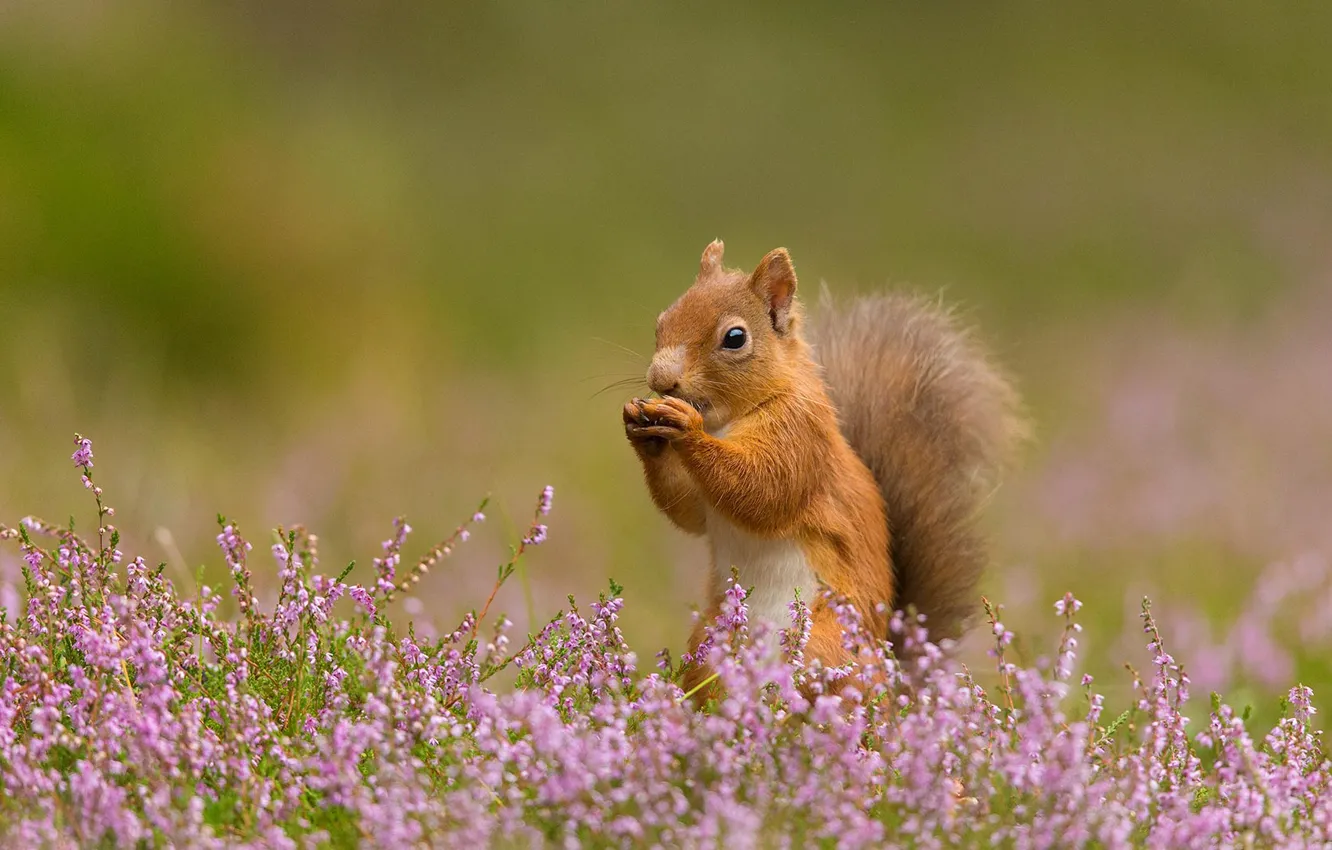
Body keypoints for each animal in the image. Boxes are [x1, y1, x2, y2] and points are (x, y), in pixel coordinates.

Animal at [623, 240, 1025, 696]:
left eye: (735, 338)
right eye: (662, 321)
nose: (661, 379)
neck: (729, 420)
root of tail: (892, 683)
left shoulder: (801, 438)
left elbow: (763, 491)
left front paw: (685, 428)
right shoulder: (704, 499)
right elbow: (690, 511)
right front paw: (643, 431)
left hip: (827, 642)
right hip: (712, 642)